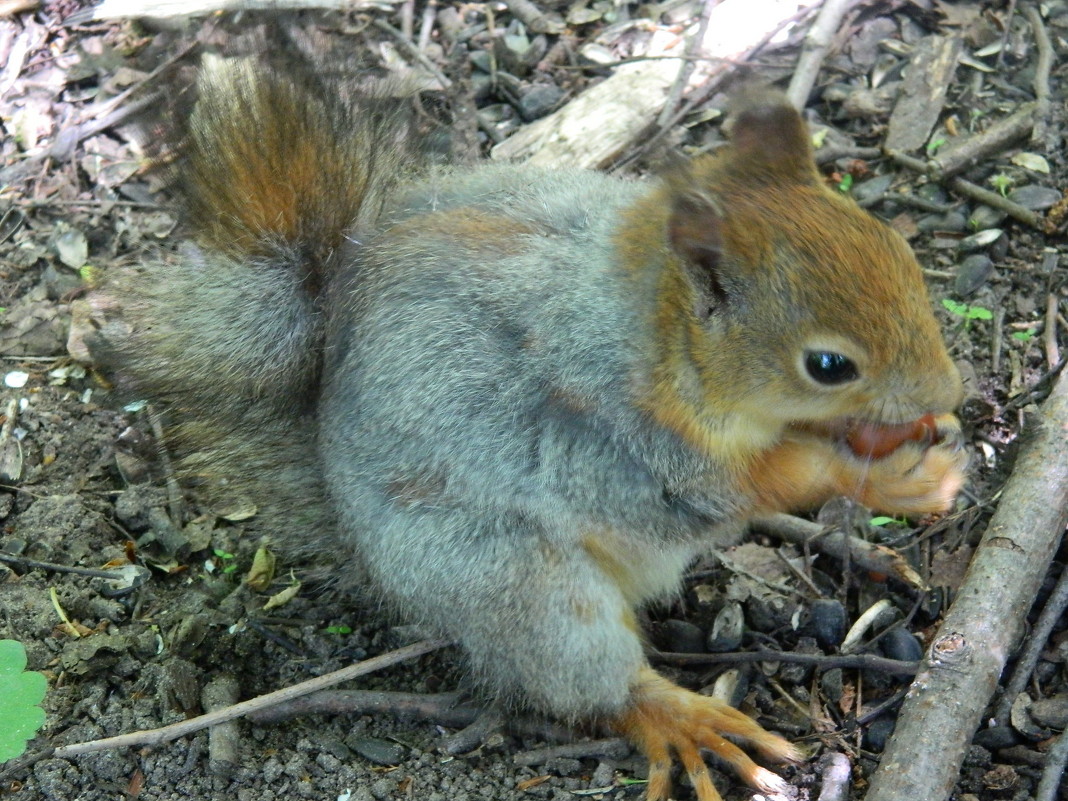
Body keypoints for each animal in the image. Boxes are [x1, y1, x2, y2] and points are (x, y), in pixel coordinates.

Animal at [93, 55, 969, 801]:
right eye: (828, 364)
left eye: (899, 251)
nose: (951, 389)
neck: (653, 336)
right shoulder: (614, 443)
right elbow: (732, 487)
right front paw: (883, 473)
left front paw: (917, 438)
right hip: (518, 585)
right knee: (588, 678)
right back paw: (681, 717)